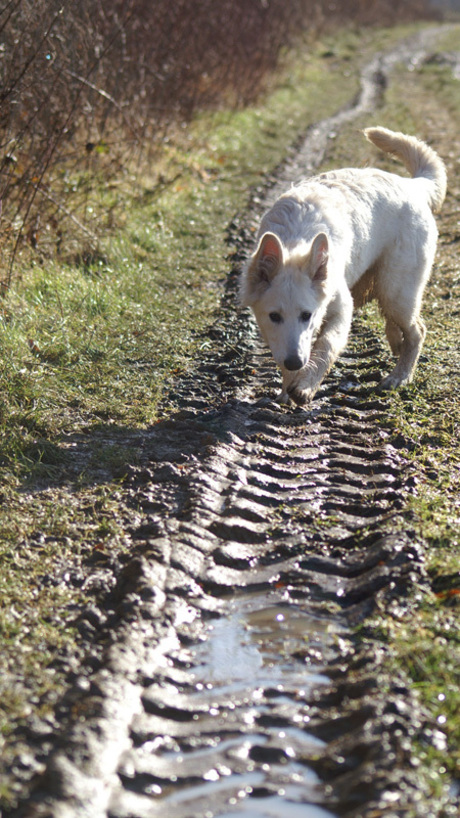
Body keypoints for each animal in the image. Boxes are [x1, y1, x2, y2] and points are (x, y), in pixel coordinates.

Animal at [241, 127, 446, 404]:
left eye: (307, 315)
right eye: (274, 316)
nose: (296, 362)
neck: (295, 241)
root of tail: (410, 185)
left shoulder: (341, 310)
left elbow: (325, 347)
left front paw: (305, 385)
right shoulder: (275, 334)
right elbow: (284, 353)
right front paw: (287, 387)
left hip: (396, 290)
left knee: (417, 331)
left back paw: (400, 376)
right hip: (388, 290)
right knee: (398, 324)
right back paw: (395, 344)